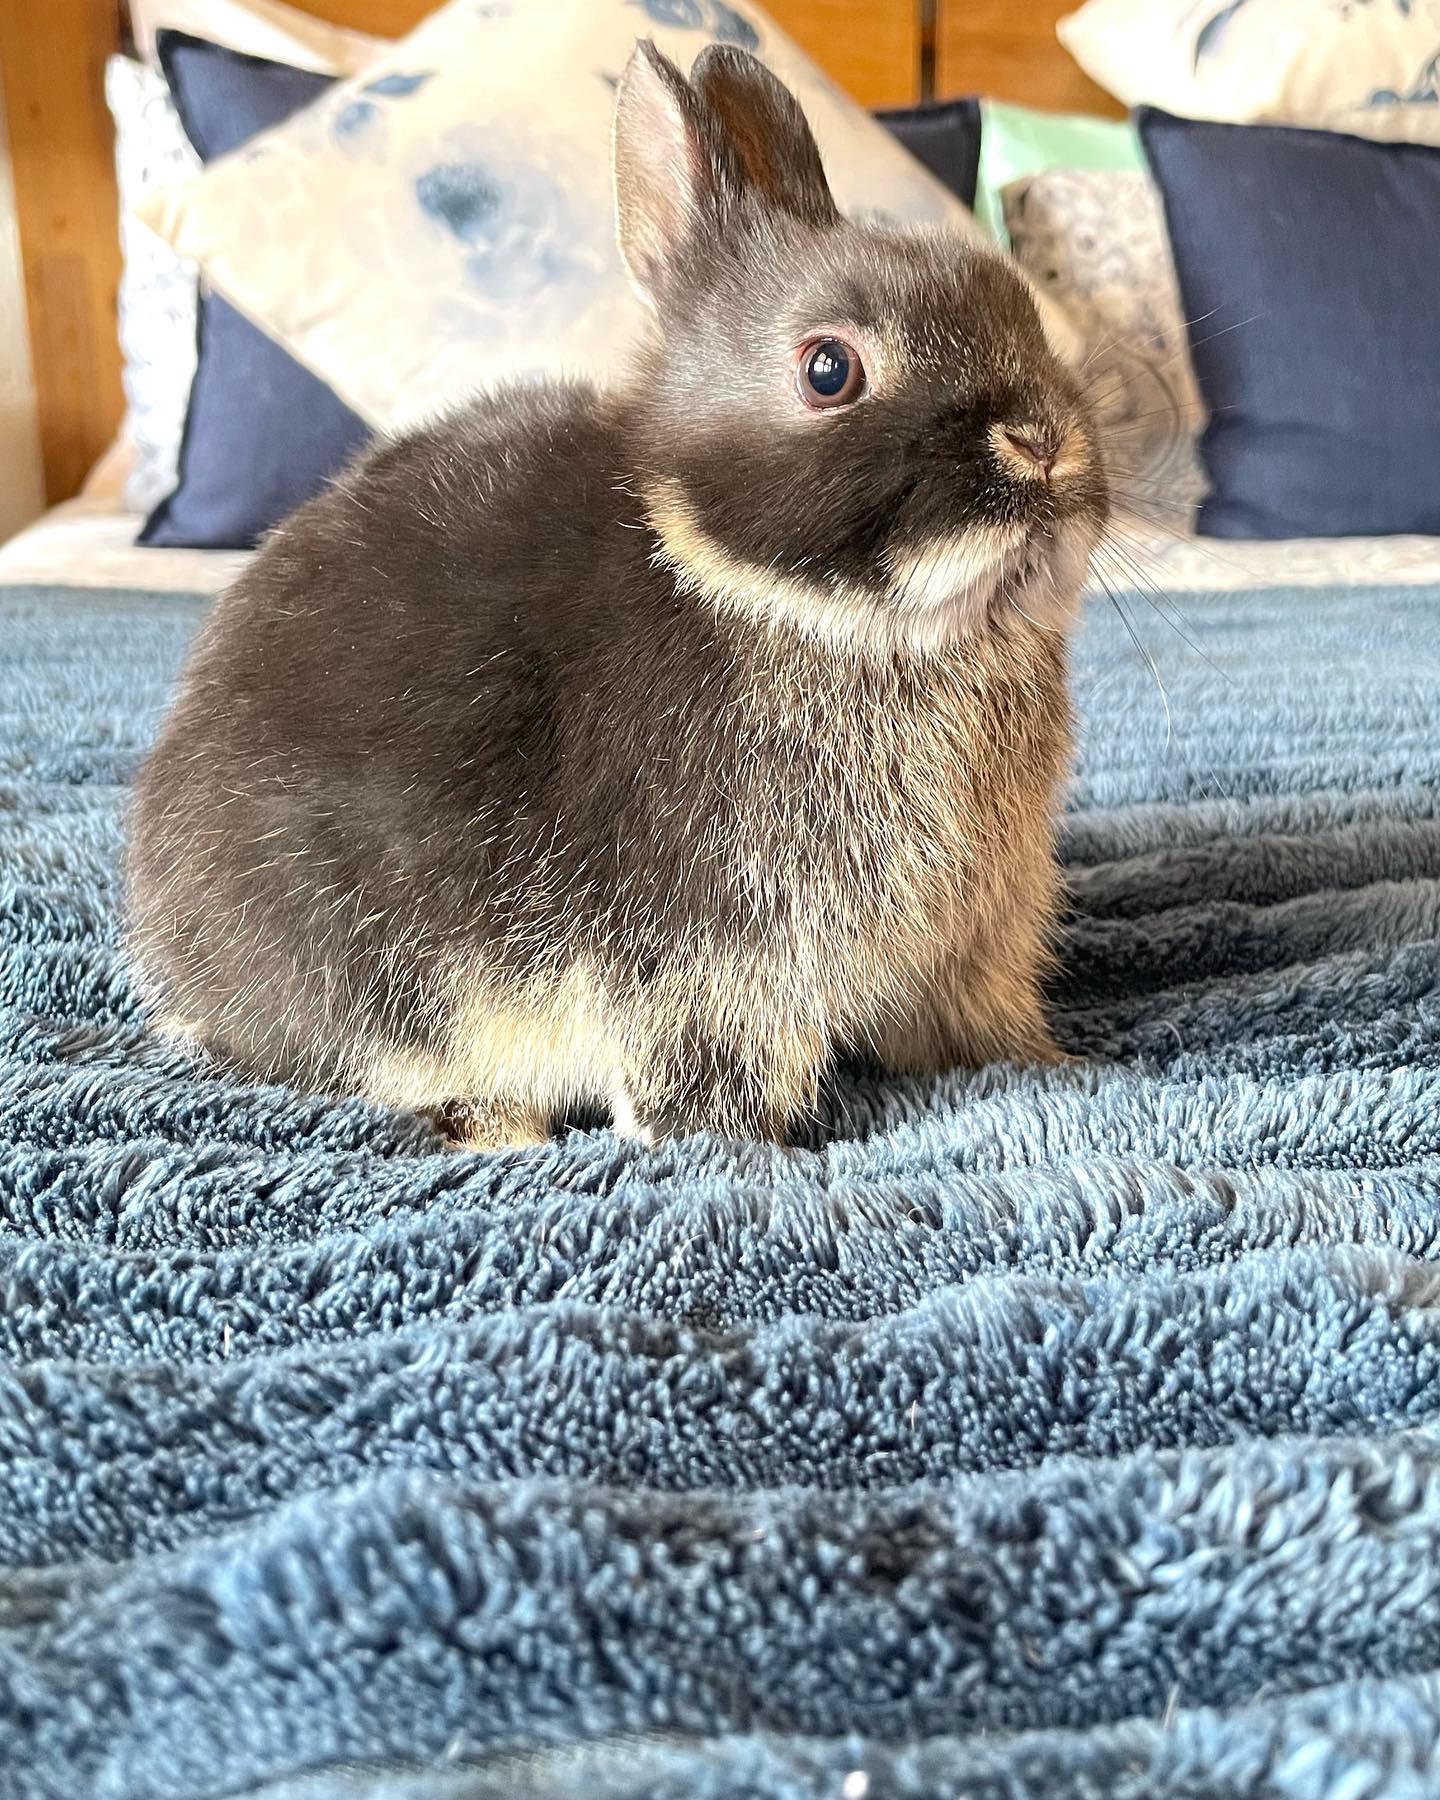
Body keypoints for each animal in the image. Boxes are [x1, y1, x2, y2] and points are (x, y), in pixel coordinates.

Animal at [126, 39, 1108, 1150]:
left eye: (1021, 310)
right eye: (828, 369)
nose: (1043, 442)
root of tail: (169, 955)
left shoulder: (972, 946)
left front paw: (1052, 1065)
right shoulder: (707, 962)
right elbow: (704, 1072)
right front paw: (731, 1144)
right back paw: (497, 1124)